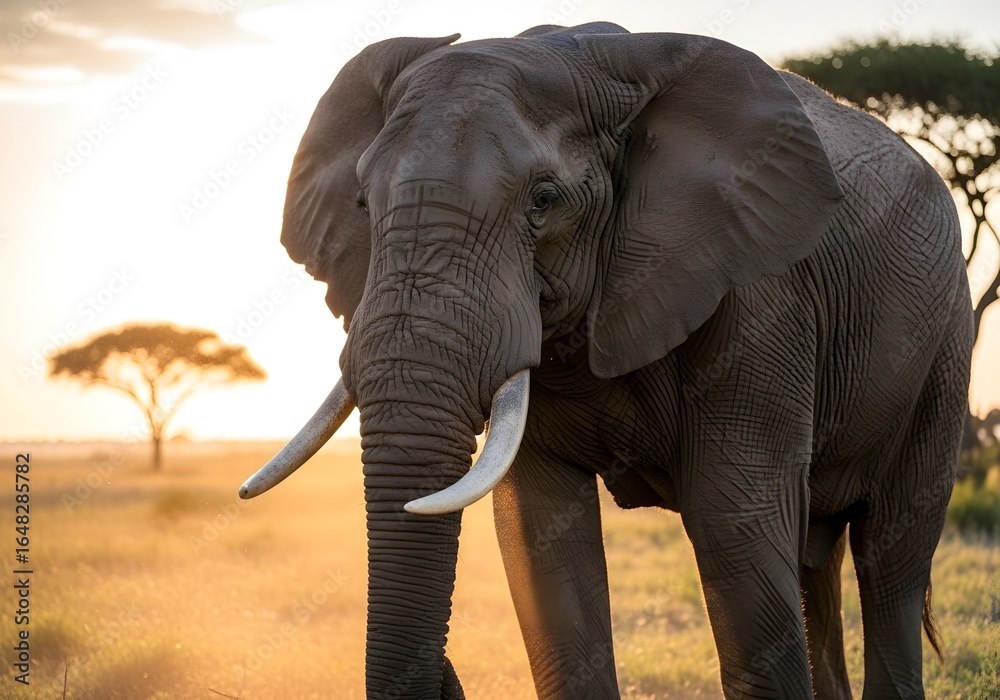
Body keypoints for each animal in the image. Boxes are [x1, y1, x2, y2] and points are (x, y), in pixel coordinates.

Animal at [240, 22, 973, 699]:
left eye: (544, 200)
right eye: (364, 202)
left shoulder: (761, 296)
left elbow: (735, 524)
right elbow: (540, 539)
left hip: (946, 346)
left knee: (892, 557)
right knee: (818, 563)